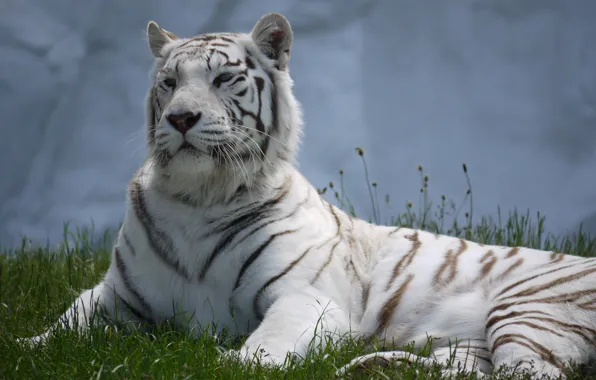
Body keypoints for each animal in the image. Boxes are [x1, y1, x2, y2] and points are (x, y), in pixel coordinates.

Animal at [22, 12, 596, 380]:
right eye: (168, 82)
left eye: (224, 78)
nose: (180, 118)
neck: (198, 197)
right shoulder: (114, 295)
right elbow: (61, 327)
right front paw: (26, 346)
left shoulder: (307, 297)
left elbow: (264, 347)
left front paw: (228, 365)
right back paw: (374, 367)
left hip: (527, 311)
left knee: (532, 374)